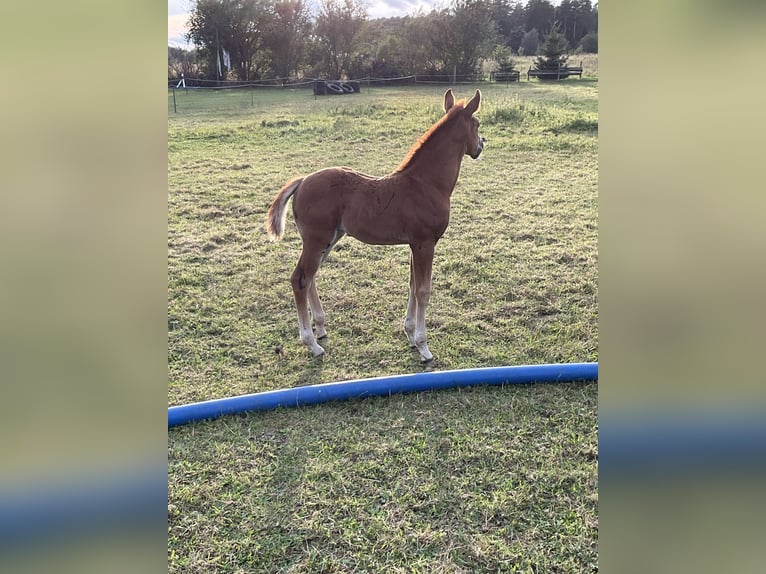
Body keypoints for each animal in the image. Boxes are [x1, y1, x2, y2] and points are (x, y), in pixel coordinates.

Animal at [266, 89, 484, 362]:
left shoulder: (414, 244)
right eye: (477, 124)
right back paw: (312, 343)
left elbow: (412, 285)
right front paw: (423, 347)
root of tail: (303, 180)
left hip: (329, 239)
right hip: (317, 240)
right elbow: (423, 290)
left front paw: (410, 336)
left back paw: (321, 328)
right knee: (299, 280)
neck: (425, 183)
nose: (481, 146)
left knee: (310, 276)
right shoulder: (425, 243)